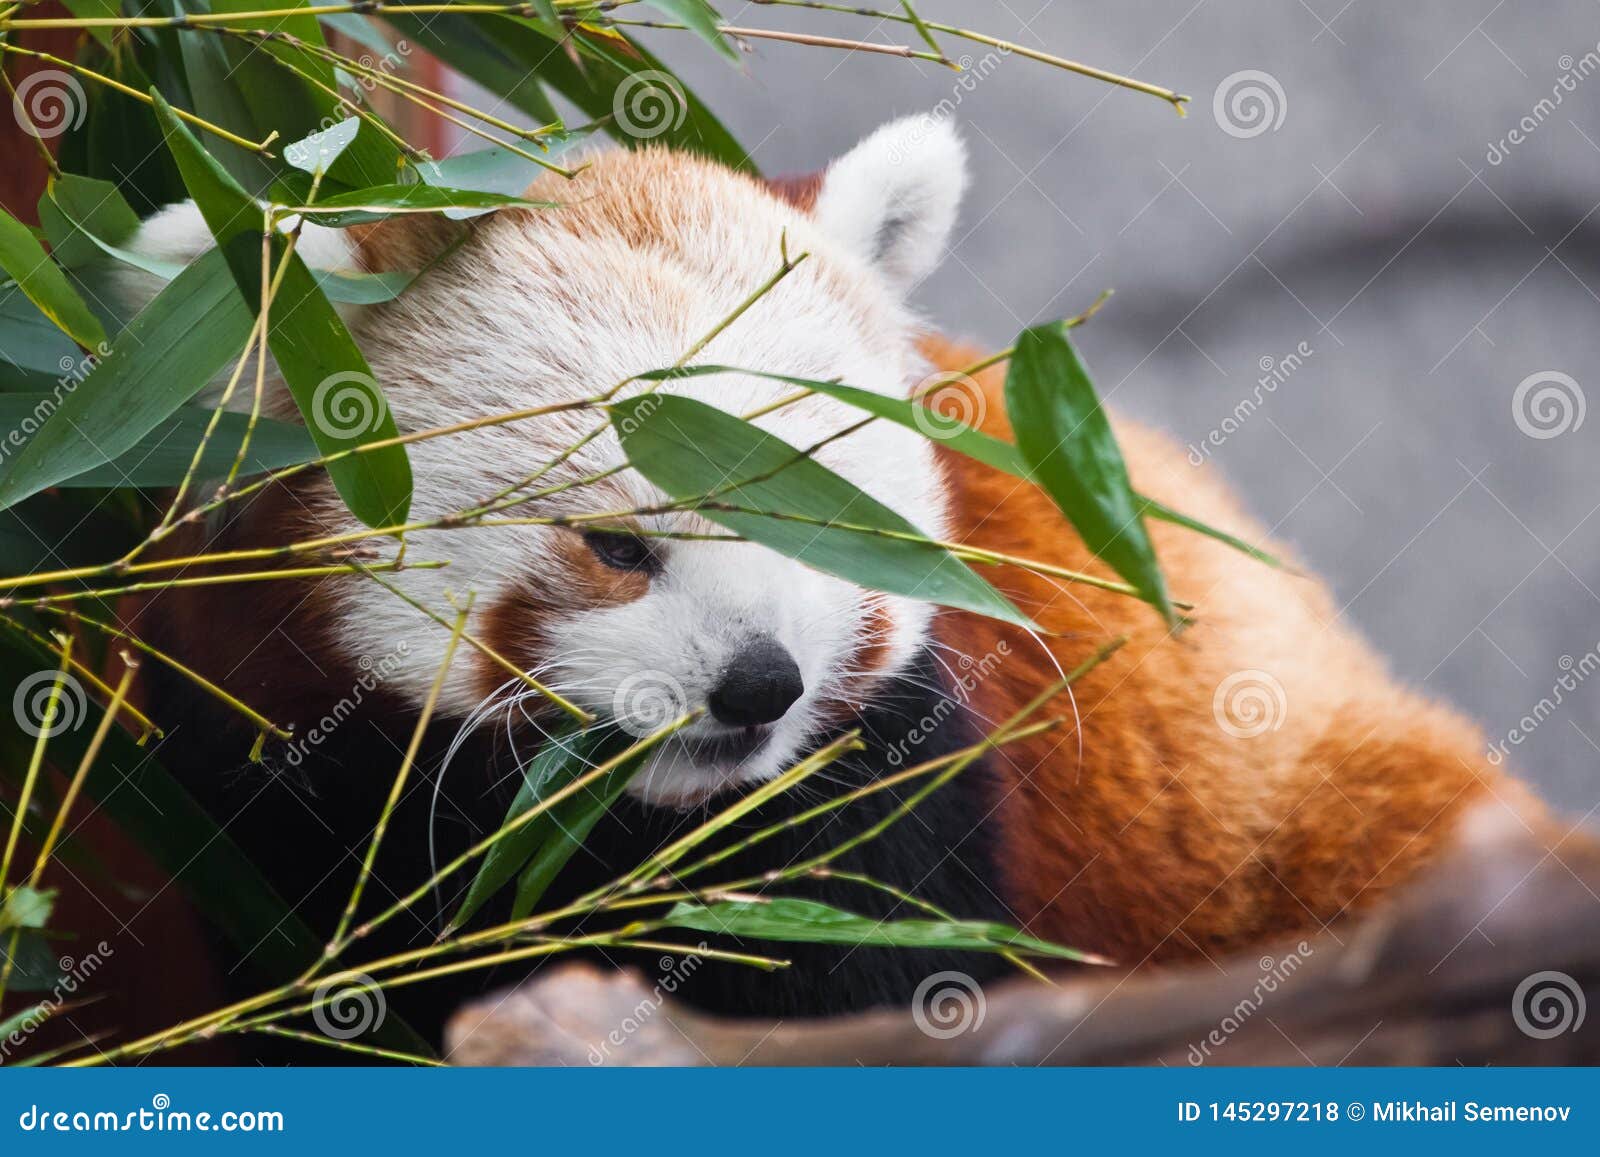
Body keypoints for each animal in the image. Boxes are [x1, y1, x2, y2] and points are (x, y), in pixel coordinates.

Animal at [116, 112, 1548, 1024]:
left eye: (818, 515)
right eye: (618, 546)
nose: (760, 684)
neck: (632, 833)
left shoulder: (907, 777)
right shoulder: (269, 777)